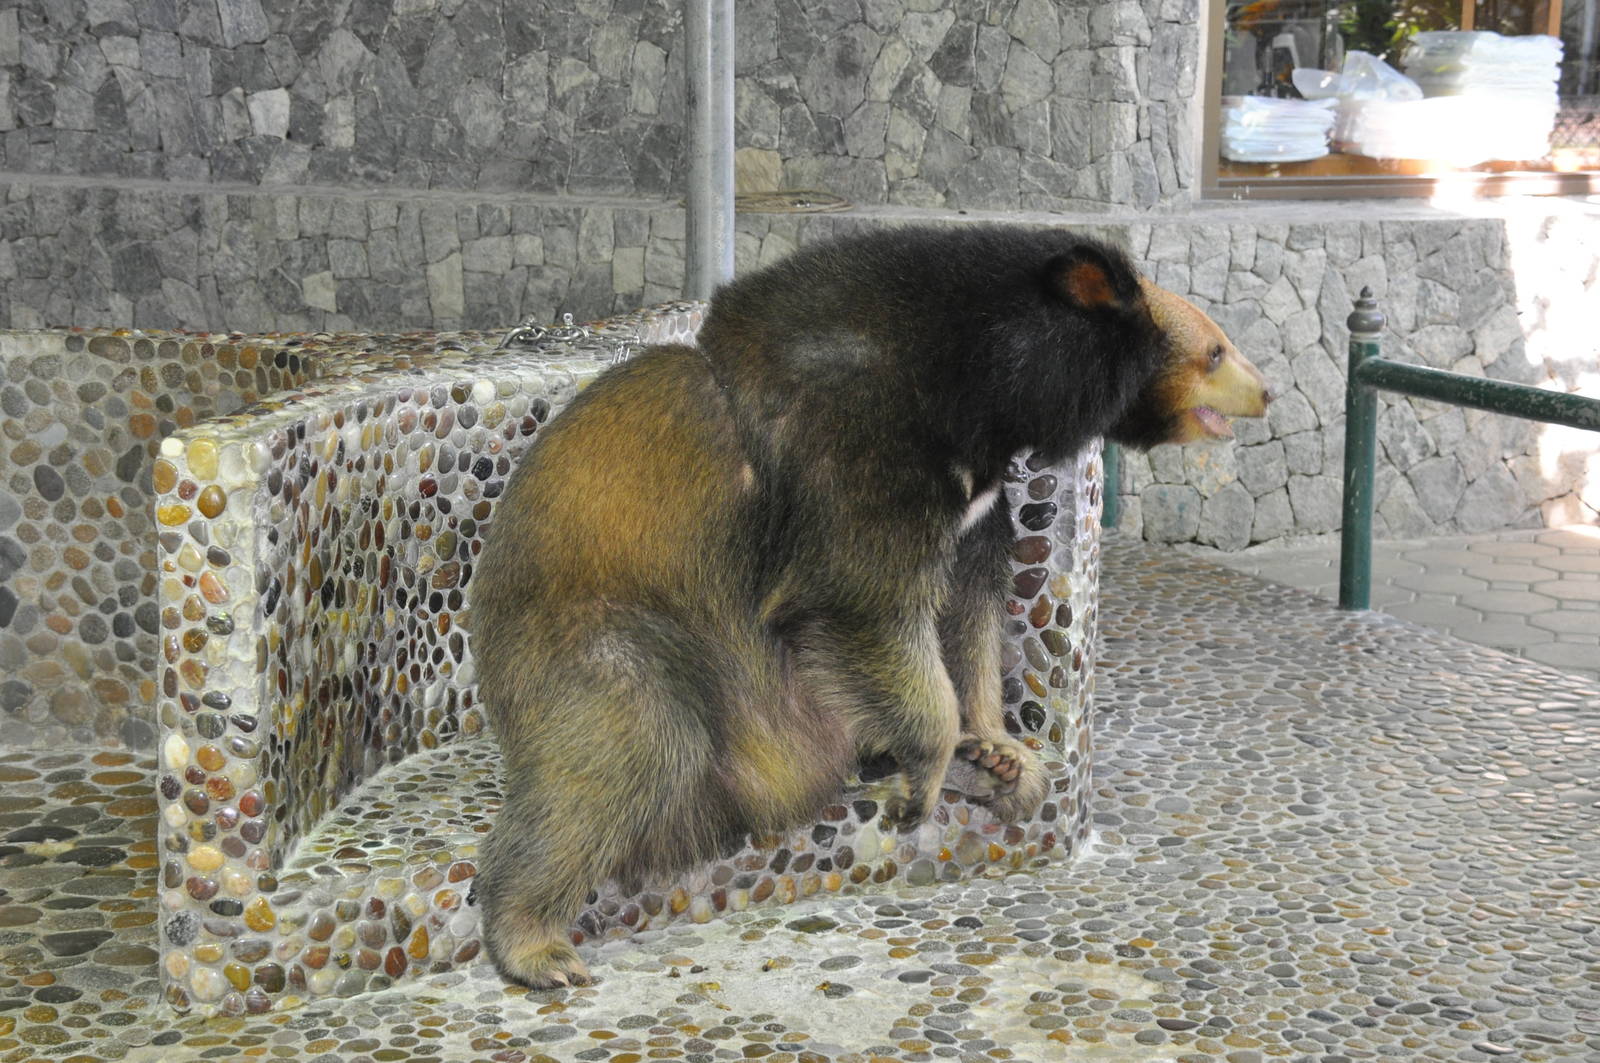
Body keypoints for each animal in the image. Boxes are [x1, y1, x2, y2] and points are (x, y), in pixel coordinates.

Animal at [468, 224, 1272, 989]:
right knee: (624, 750)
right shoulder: (859, 447)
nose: (1268, 393)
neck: (984, 390)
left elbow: (968, 608)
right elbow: (865, 599)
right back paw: (536, 943)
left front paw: (1002, 752)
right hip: (611, 642)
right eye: (1215, 350)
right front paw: (931, 771)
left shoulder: (977, 496)